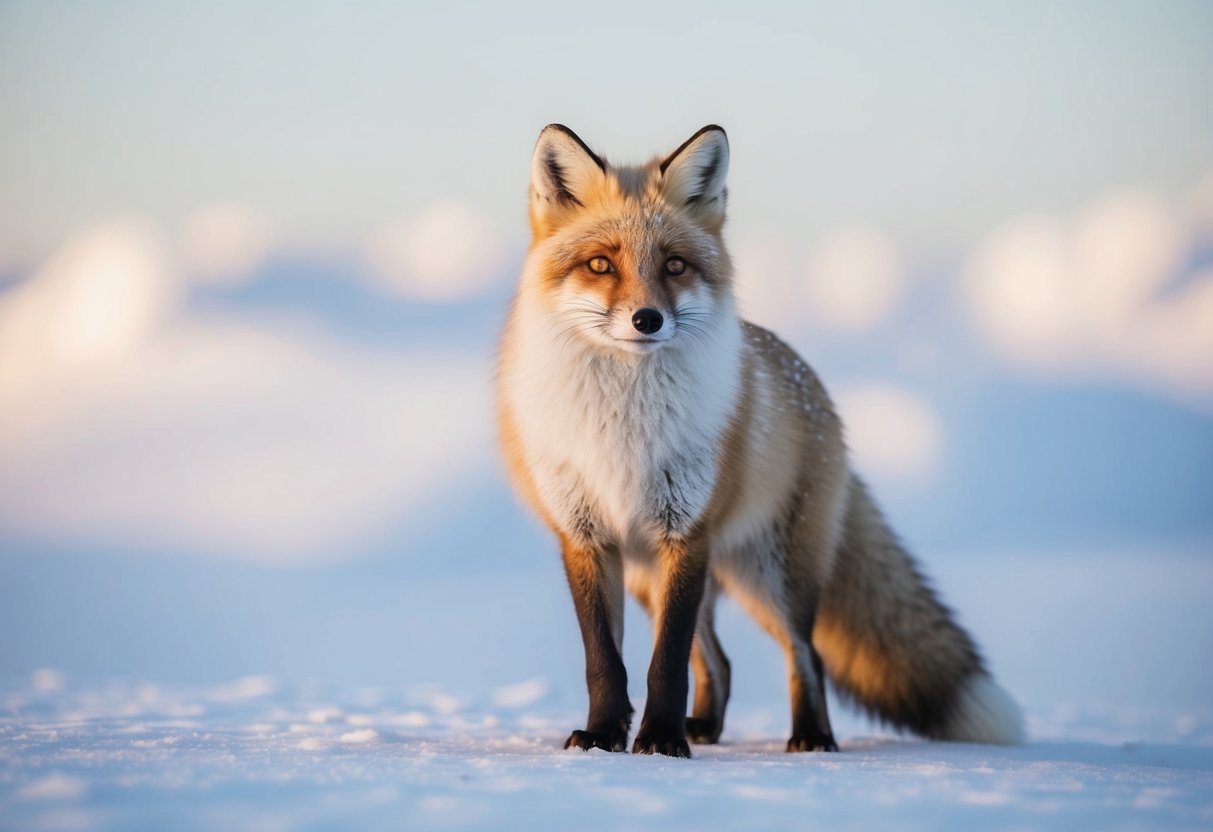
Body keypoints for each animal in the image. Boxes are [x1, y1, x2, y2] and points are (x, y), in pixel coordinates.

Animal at [495, 124, 1024, 757]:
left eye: (674, 265)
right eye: (600, 263)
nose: (647, 320)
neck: (625, 426)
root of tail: (814, 389)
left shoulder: (687, 533)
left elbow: (665, 663)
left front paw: (662, 741)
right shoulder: (587, 537)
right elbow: (606, 661)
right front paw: (603, 736)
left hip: (770, 574)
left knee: (806, 653)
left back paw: (811, 736)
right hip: (661, 576)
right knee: (719, 661)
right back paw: (706, 727)